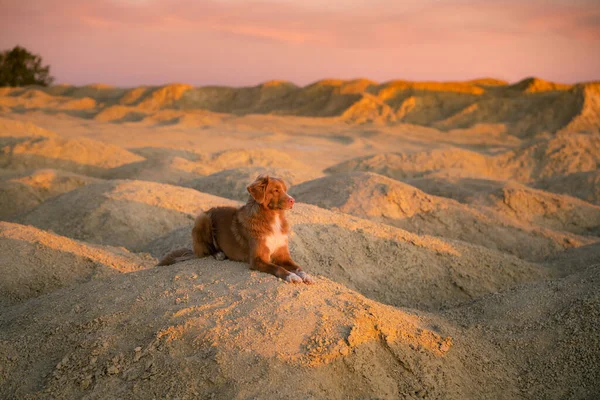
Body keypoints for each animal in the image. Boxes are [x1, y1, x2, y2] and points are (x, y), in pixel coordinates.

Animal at [157, 176, 314, 284]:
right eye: (275, 190)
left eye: (285, 190)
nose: (293, 200)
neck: (272, 217)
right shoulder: (257, 259)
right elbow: (278, 268)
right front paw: (291, 276)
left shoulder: (283, 256)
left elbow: (298, 267)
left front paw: (306, 275)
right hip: (203, 218)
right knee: (206, 250)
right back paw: (219, 254)